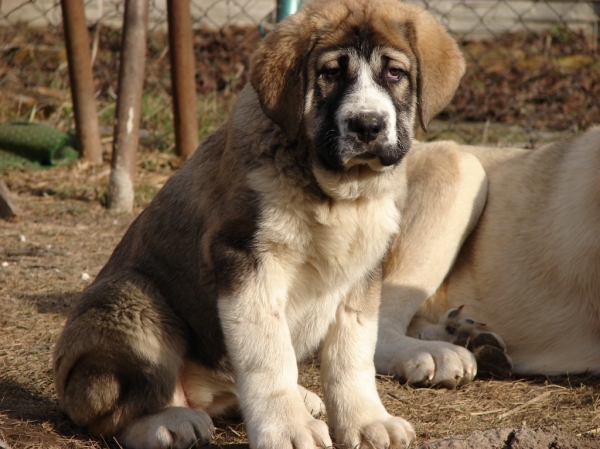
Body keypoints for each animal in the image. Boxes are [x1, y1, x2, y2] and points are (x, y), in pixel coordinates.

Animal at [52, 0, 464, 448]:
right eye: (331, 73)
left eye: (394, 73)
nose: (368, 125)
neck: (337, 195)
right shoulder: (246, 261)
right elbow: (268, 356)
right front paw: (287, 429)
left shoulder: (363, 272)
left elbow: (352, 354)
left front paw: (367, 420)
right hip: (132, 301)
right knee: (116, 410)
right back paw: (170, 421)